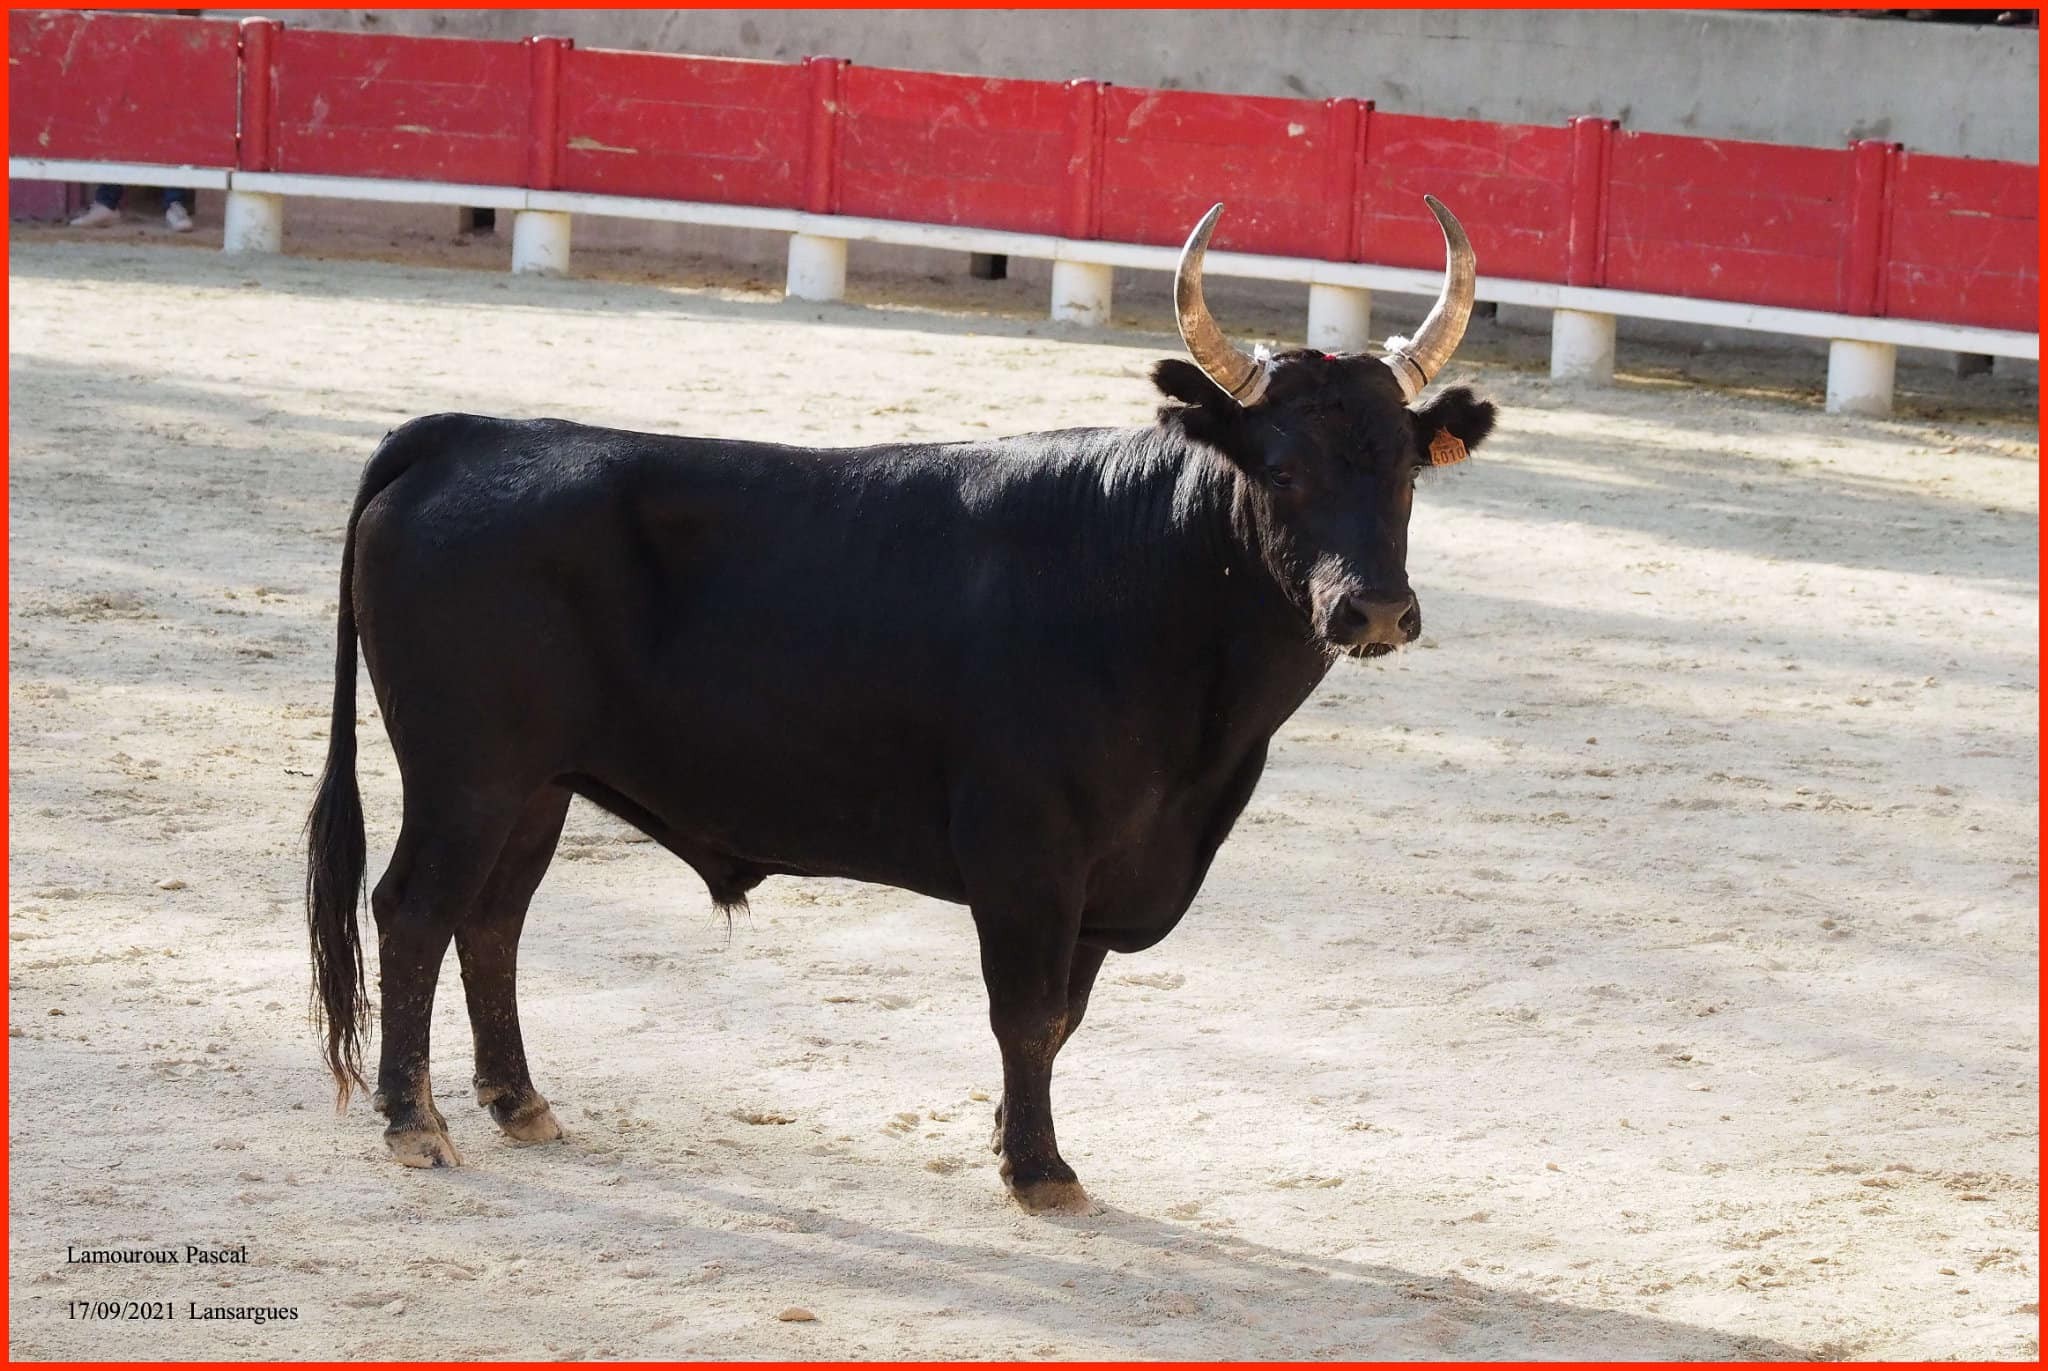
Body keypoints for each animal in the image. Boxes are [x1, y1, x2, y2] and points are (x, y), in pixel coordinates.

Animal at [299, 202, 1490, 1205]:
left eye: (1406, 473)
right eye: (1281, 469)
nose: (1375, 610)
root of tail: (472, 433)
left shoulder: (1107, 872)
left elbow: (1065, 1013)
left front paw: (1015, 1143)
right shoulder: (1025, 851)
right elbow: (1027, 1010)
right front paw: (1038, 1170)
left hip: (538, 784)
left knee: (492, 921)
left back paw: (521, 1104)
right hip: (466, 775)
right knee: (415, 910)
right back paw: (415, 1123)